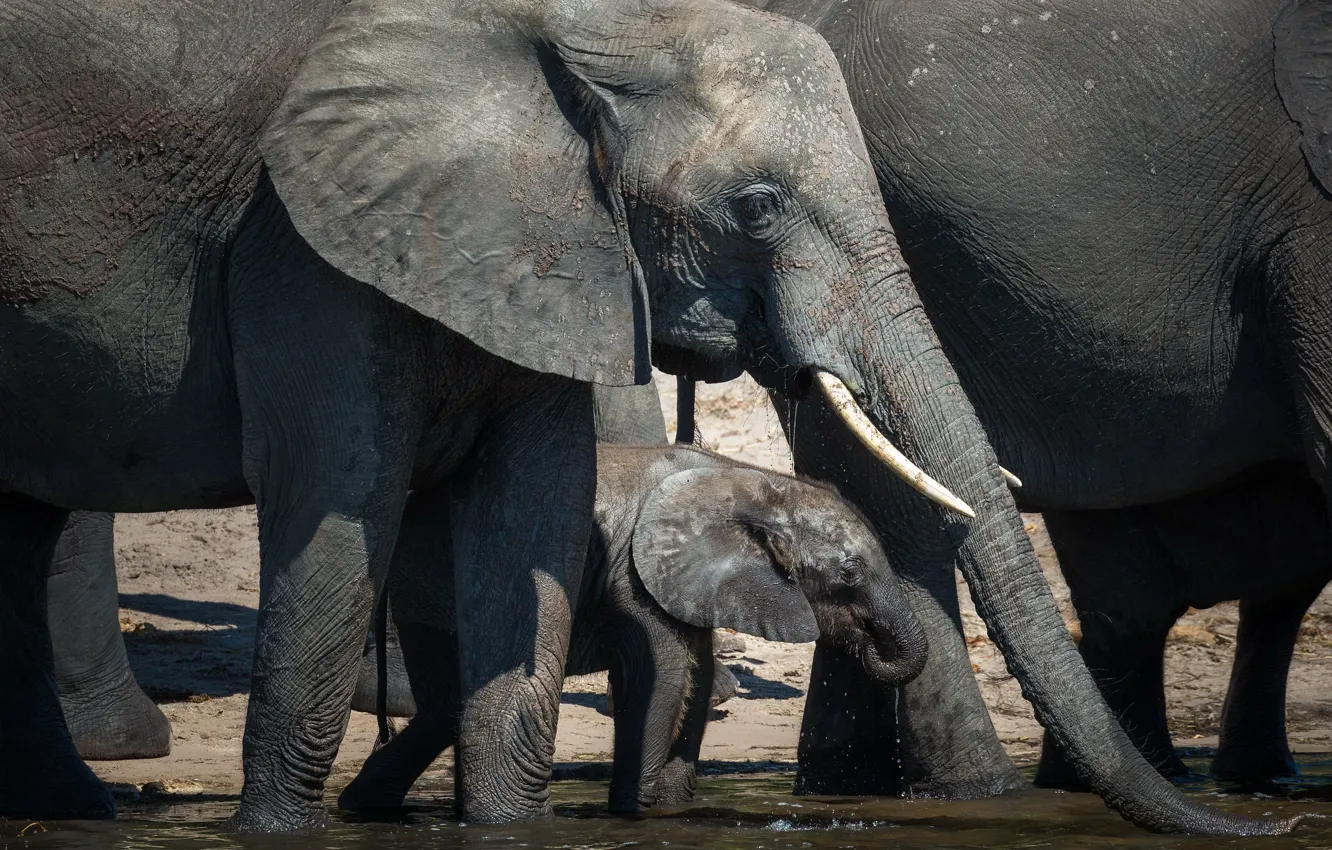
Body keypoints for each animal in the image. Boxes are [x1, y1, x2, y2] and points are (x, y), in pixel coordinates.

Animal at [338, 443, 929, 814]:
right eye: (849, 573)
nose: (869, 646)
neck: (754, 481)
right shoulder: (635, 576)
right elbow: (661, 680)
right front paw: (633, 813)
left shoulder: (689, 582)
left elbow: (695, 678)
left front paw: (671, 809)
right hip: (431, 577)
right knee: (445, 701)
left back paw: (365, 808)